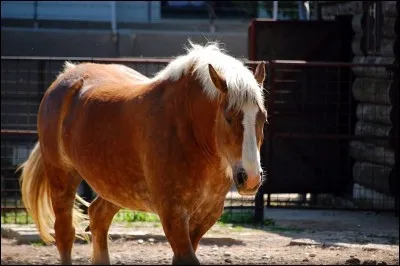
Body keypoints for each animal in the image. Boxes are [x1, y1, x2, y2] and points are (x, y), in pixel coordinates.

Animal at [19, 40, 268, 264]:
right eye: (228, 117)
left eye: (262, 117)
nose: (250, 178)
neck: (187, 128)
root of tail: (65, 78)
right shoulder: (172, 214)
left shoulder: (205, 216)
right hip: (62, 178)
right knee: (65, 234)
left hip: (116, 186)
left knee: (98, 216)